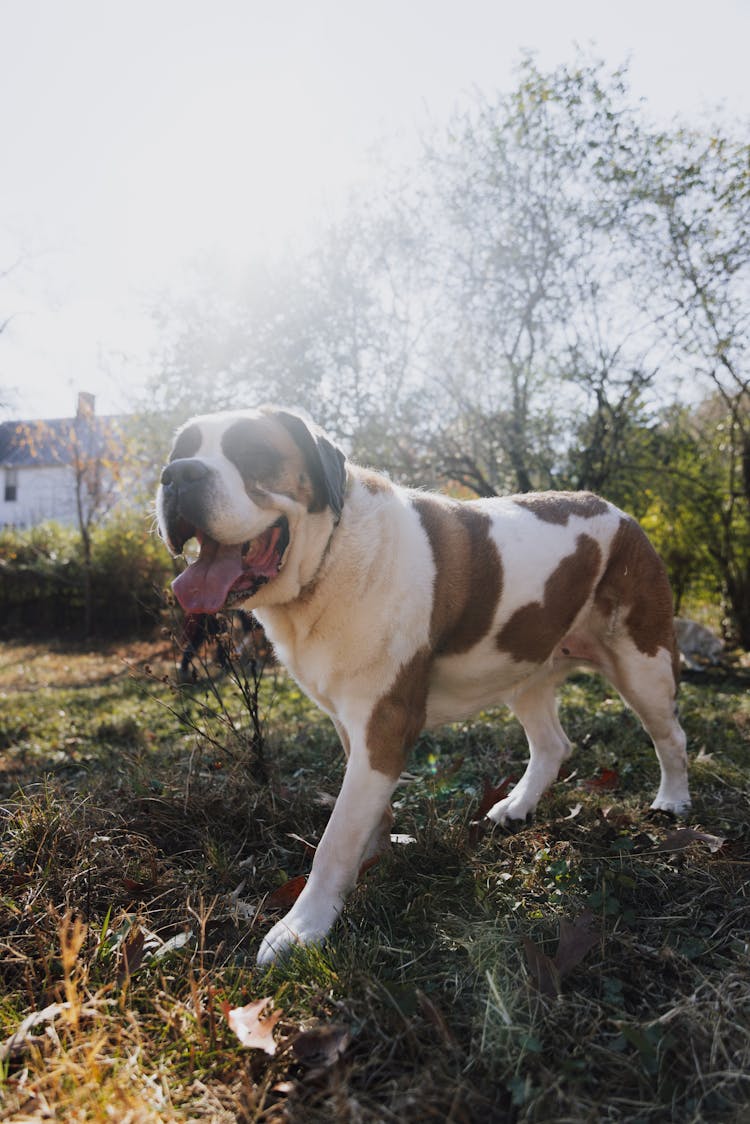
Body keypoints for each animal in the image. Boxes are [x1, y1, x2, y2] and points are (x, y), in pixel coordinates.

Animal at [155, 409, 688, 962]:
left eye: (253, 453)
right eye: (180, 453)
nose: (178, 476)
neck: (328, 559)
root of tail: (618, 512)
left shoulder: (386, 721)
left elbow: (336, 836)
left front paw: (302, 927)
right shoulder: (353, 724)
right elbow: (363, 811)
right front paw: (374, 854)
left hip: (643, 663)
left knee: (670, 735)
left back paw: (672, 801)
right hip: (526, 668)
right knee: (552, 745)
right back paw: (517, 806)